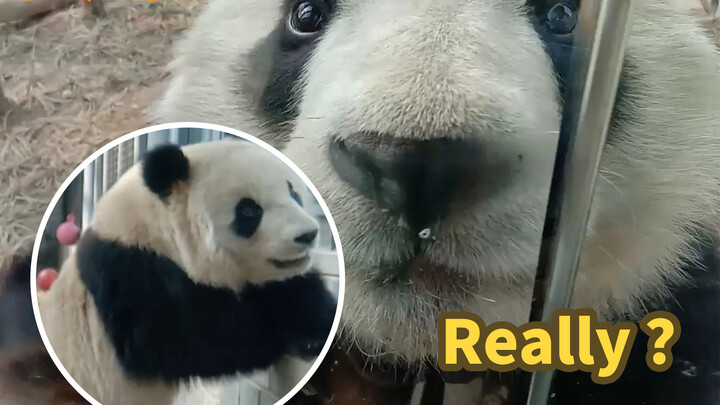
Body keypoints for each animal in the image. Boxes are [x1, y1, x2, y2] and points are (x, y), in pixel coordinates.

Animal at [31, 133, 340, 404]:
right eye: (249, 210)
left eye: (294, 192)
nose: (308, 235)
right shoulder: (130, 276)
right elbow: (200, 338)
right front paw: (303, 331)